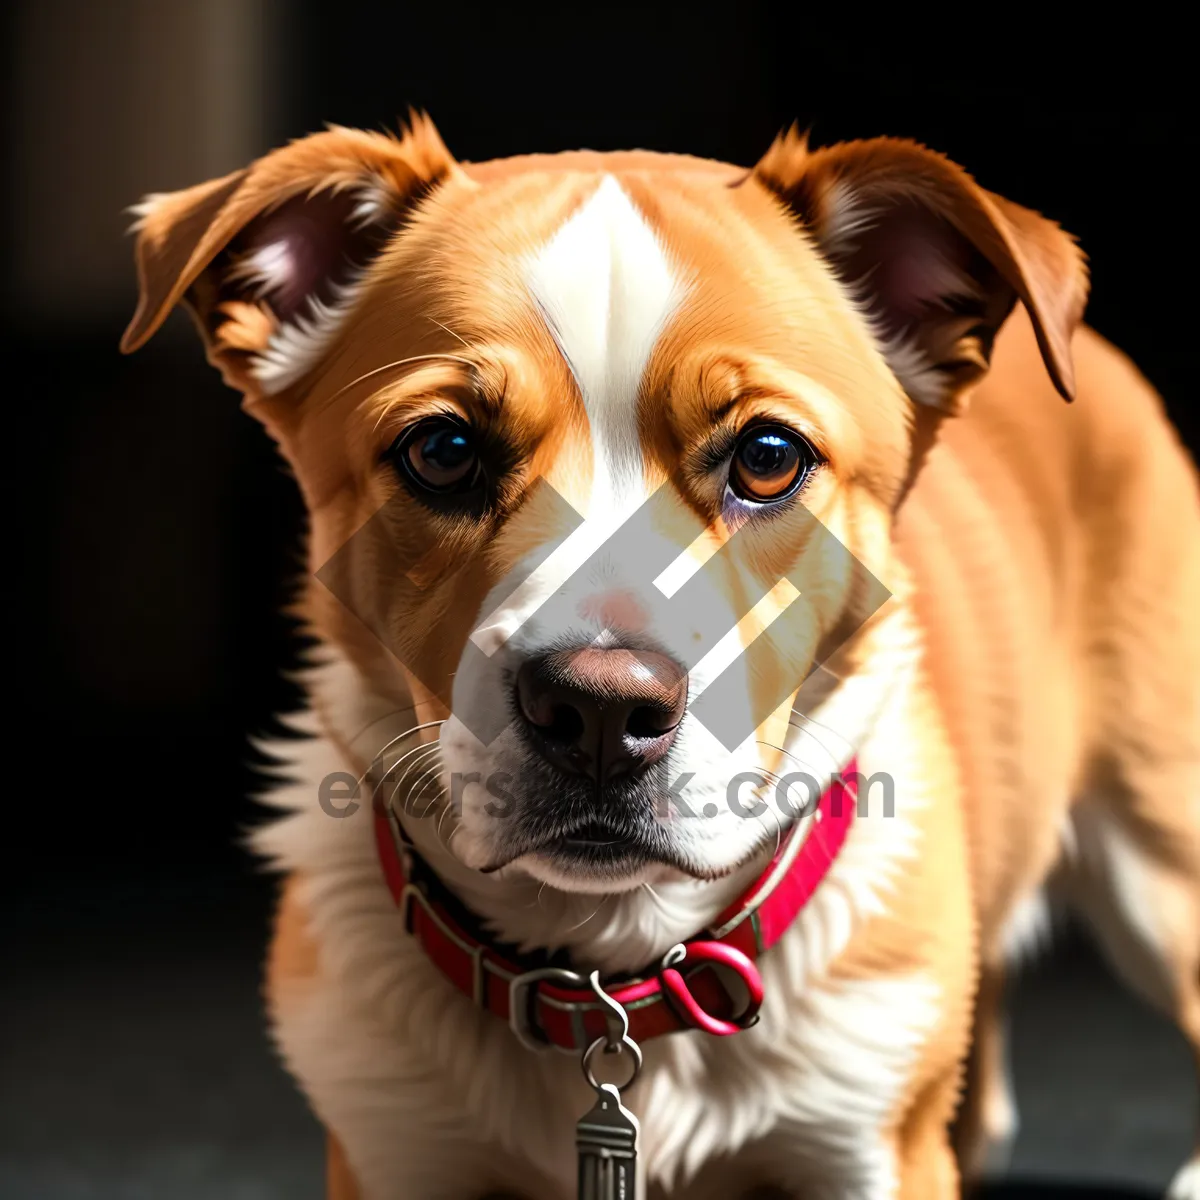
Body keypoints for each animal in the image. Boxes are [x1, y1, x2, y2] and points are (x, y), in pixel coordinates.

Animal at [121, 114, 1200, 1200]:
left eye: (767, 456)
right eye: (442, 451)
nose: (600, 710)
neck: (612, 966)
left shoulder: (870, 1148)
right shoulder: (394, 1145)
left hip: (1160, 854)